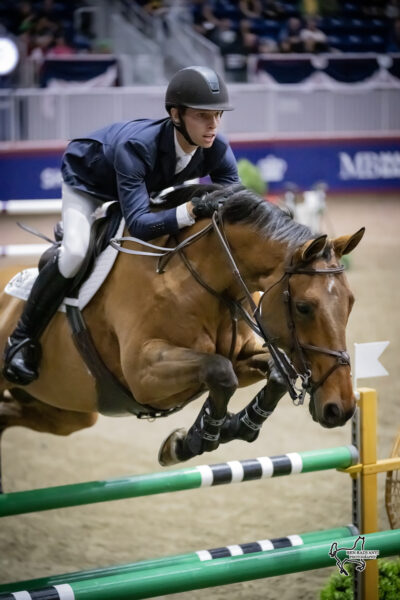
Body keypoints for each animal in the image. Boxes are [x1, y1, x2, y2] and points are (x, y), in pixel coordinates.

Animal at [0, 184, 362, 482]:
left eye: (350, 303)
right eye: (304, 307)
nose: (340, 408)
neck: (202, 280)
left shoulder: (242, 354)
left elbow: (272, 372)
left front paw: (229, 427)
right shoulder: (143, 373)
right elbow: (220, 372)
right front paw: (196, 439)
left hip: (67, 412)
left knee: (9, 415)